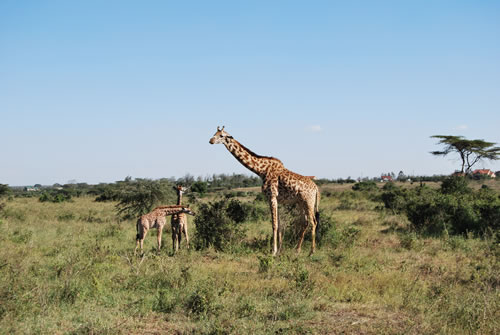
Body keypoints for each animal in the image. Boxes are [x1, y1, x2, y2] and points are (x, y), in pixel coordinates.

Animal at [208, 127, 320, 256]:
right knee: (305, 222)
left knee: (313, 222)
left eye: (221, 135)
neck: (261, 171)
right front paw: (279, 250)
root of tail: (316, 188)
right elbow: (279, 225)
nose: (211, 140)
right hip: (301, 202)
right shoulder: (275, 199)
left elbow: (274, 225)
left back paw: (312, 252)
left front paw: (273, 251)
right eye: (214, 133)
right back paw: (297, 250)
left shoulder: (271, 196)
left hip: (309, 201)